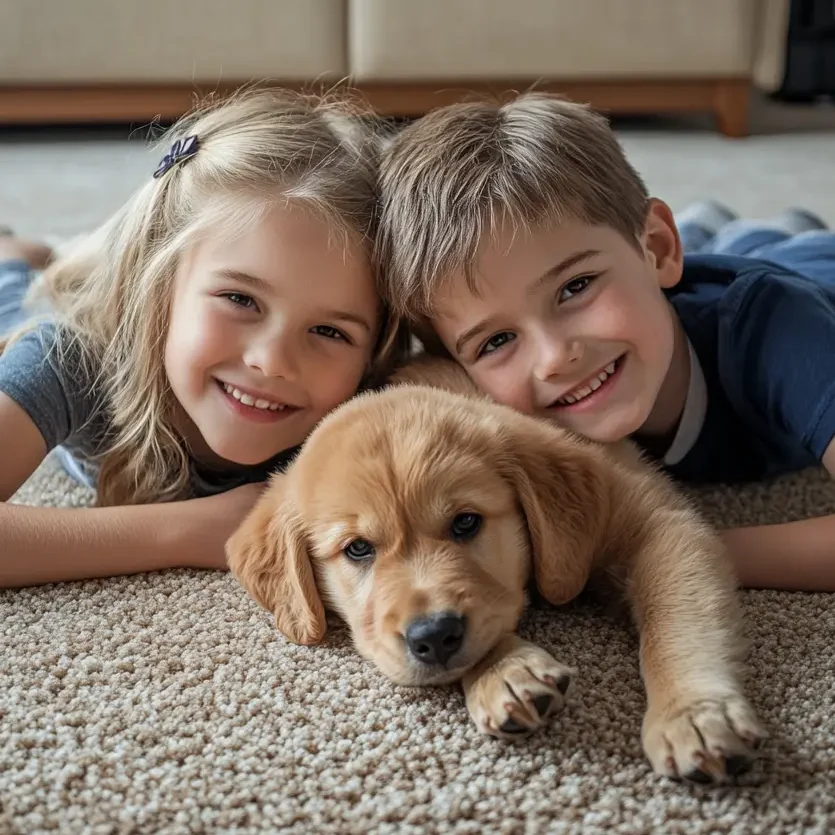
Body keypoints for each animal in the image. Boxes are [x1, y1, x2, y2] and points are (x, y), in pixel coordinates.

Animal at [227, 358, 764, 784]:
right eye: (358, 549)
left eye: (466, 522)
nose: (433, 636)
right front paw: (506, 671)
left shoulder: (660, 527)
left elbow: (675, 623)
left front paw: (693, 715)